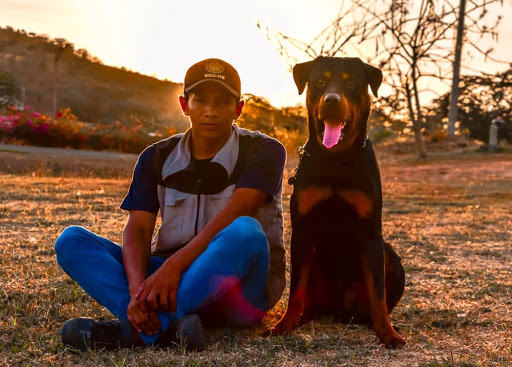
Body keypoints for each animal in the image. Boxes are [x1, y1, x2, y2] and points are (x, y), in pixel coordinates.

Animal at [270, 56, 406, 348]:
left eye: (352, 83)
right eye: (320, 81)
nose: (332, 100)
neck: (335, 161)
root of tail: (340, 310)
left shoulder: (371, 233)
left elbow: (378, 293)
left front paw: (388, 333)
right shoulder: (302, 231)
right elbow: (295, 289)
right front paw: (284, 324)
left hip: (391, 258)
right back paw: (303, 317)